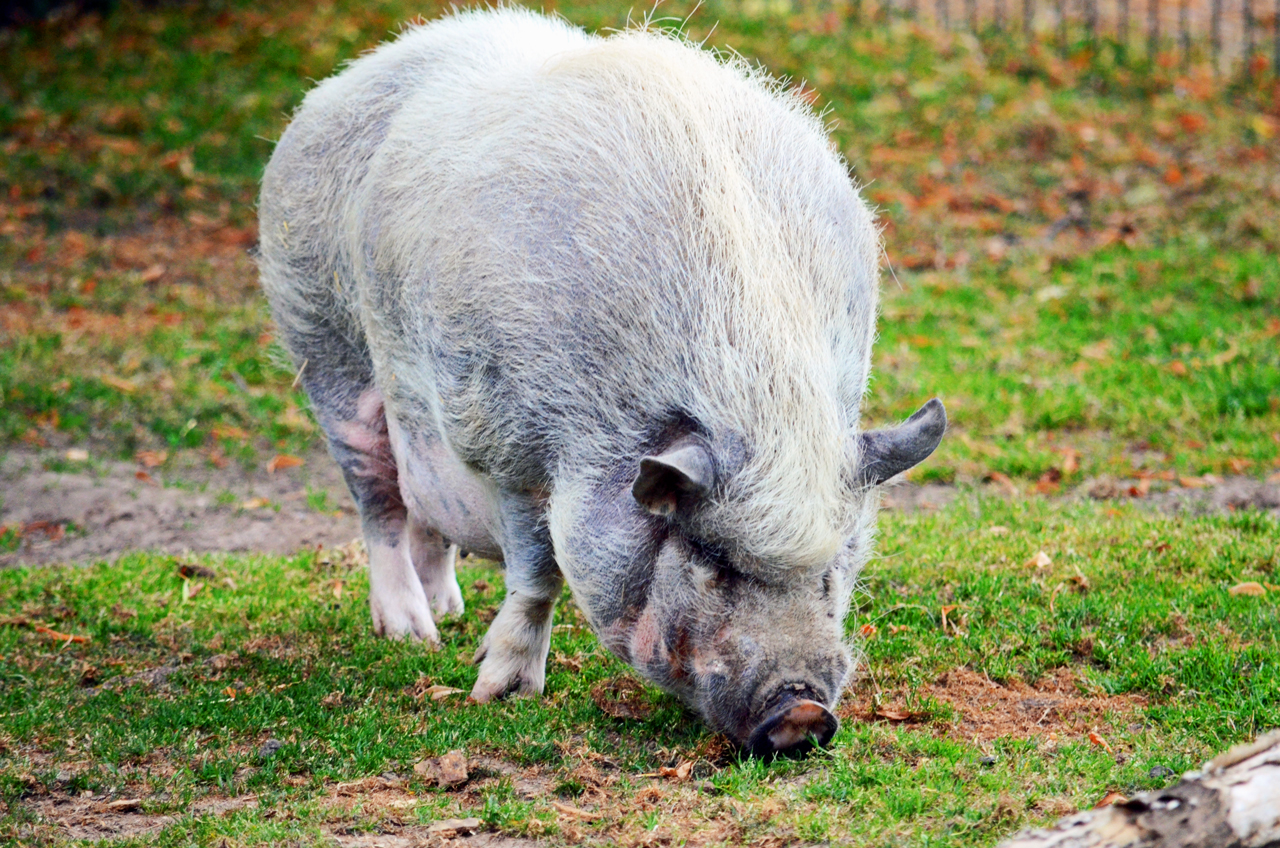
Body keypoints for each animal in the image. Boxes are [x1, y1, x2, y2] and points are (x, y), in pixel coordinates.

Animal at [259, 8, 947, 758]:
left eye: (832, 569)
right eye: (710, 558)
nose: (803, 713)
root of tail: (343, 82)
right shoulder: (510, 449)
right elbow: (537, 572)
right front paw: (499, 691)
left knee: (425, 518)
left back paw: (451, 612)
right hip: (323, 341)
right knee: (378, 499)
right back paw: (415, 636)